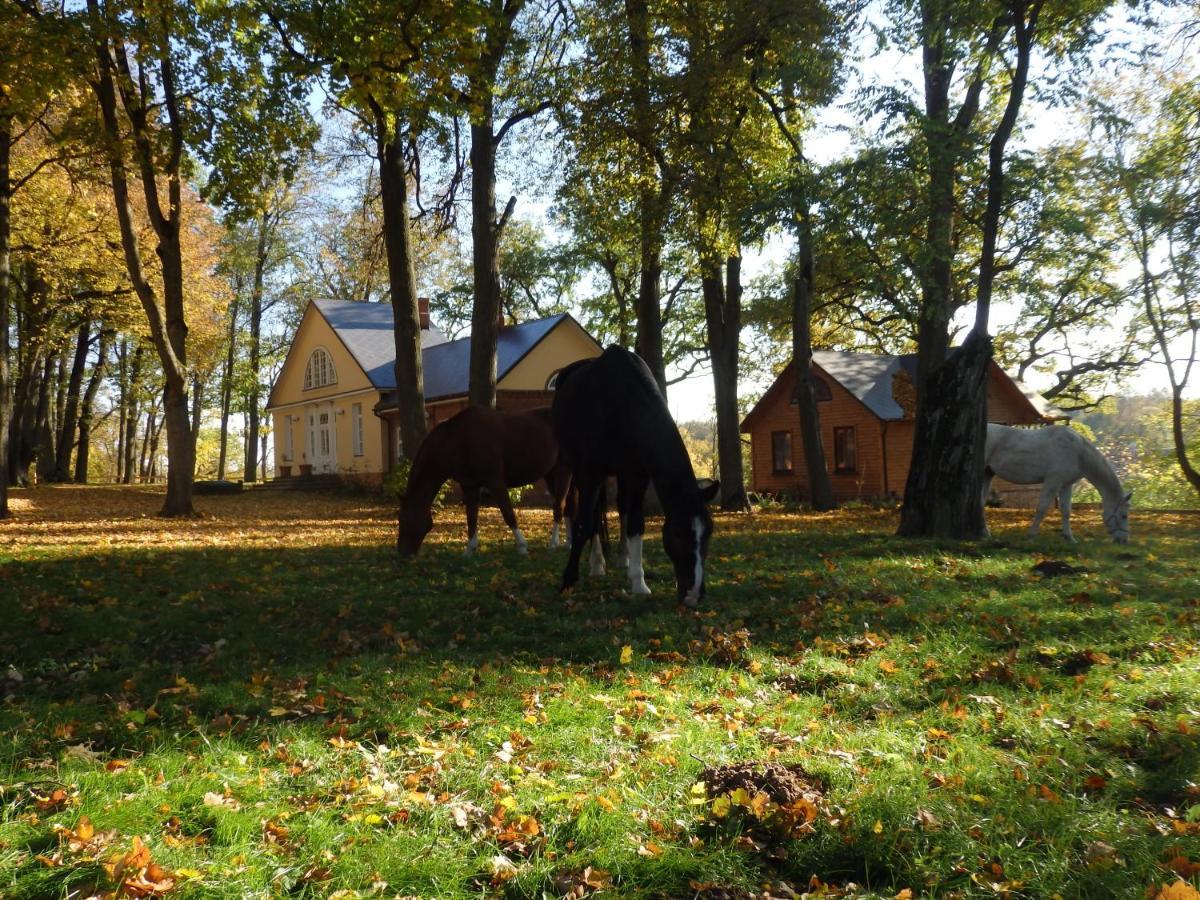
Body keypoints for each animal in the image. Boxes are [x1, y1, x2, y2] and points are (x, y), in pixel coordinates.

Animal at [396, 408, 573, 556]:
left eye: (403, 519)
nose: (402, 553)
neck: (458, 440)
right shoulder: (469, 486)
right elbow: (471, 518)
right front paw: (469, 550)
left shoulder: (495, 482)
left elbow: (508, 514)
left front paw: (522, 546)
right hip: (551, 474)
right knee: (568, 507)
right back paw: (569, 543)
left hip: (563, 470)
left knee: (559, 506)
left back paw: (553, 544)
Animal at [554, 348, 720, 609]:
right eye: (678, 532)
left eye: (709, 533)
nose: (694, 594)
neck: (618, 403)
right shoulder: (591, 472)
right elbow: (584, 524)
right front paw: (568, 581)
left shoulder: (638, 475)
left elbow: (635, 525)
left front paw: (638, 583)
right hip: (574, 467)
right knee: (586, 512)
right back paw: (596, 562)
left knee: (620, 507)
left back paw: (621, 558)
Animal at [979, 427, 1128, 547]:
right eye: (1124, 516)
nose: (1125, 540)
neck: (1078, 452)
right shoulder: (1053, 481)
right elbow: (1042, 508)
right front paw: (1030, 536)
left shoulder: (1066, 484)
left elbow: (1066, 511)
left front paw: (1070, 538)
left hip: (987, 473)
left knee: (980, 502)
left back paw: (986, 534)